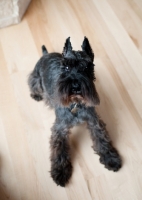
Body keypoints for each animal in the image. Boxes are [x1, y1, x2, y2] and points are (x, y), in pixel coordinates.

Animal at [28, 36, 122, 187]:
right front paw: (60, 171)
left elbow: (102, 139)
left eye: (86, 67)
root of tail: (46, 54)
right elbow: (59, 149)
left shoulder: (94, 122)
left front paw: (110, 158)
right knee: (33, 84)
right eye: (66, 67)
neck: (75, 103)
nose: (76, 86)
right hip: (36, 81)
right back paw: (36, 95)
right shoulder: (60, 128)